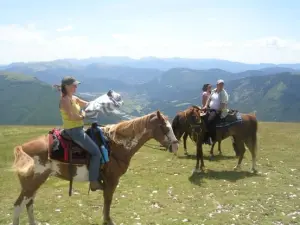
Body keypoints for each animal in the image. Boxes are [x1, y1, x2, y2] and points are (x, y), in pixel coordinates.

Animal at [11, 111, 179, 225]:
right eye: (164, 127)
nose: (175, 146)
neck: (117, 145)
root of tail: (22, 148)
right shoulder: (112, 180)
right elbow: (108, 200)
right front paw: (107, 220)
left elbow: (106, 200)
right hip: (32, 184)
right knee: (19, 205)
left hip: (34, 184)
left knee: (29, 204)